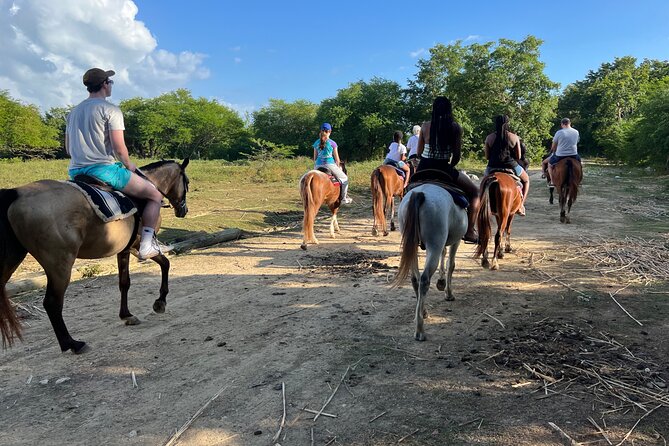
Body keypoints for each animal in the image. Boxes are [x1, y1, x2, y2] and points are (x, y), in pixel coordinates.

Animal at [0, 160, 189, 352]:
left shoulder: (124, 250)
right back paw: (71, 343)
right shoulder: (138, 246)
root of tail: (18, 193)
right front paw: (160, 301)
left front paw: (126, 315)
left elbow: (124, 282)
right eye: (186, 182)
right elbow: (165, 264)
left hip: (12, 261)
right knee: (52, 303)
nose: (184, 210)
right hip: (60, 265)